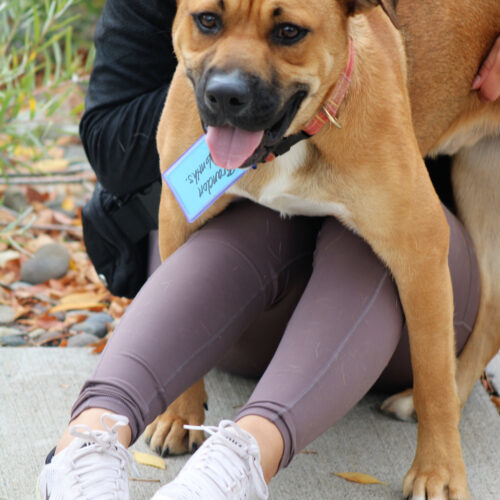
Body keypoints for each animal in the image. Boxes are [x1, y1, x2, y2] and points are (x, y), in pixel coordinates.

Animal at [145, 1, 500, 498]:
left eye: (290, 32)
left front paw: (439, 472)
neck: (289, 143)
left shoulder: (421, 246)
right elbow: (183, 332)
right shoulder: (179, 219)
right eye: (208, 20)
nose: (226, 96)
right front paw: (181, 415)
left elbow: (433, 379)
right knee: (492, 310)